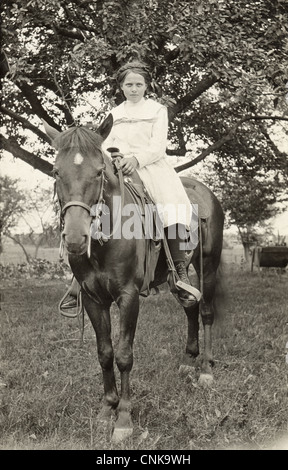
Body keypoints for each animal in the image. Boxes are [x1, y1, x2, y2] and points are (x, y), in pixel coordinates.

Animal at [43, 116, 225, 440]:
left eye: (99, 171)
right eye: (56, 171)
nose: (76, 238)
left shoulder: (128, 297)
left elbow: (124, 355)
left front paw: (124, 419)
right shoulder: (93, 299)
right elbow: (105, 353)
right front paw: (106, 410)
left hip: (209, 266)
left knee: (205, 312)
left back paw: (205, 369)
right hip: (177, 280)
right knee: (190, 306)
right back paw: (187, 361)